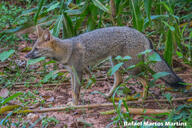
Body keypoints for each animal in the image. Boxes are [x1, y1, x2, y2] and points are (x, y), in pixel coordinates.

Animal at [24, 25, 185, 105]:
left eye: (36, 49)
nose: (26, 56)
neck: (67, 49)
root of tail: (143, 35)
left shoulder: (78, 71)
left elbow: (76, 91)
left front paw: (75, 105)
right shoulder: (72, 72)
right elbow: (72, 90)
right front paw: (72, 102)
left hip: (129, 68)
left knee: (146, 80)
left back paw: (143, 99)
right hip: (115, 62)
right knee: (119, 80)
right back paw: (108, 96)